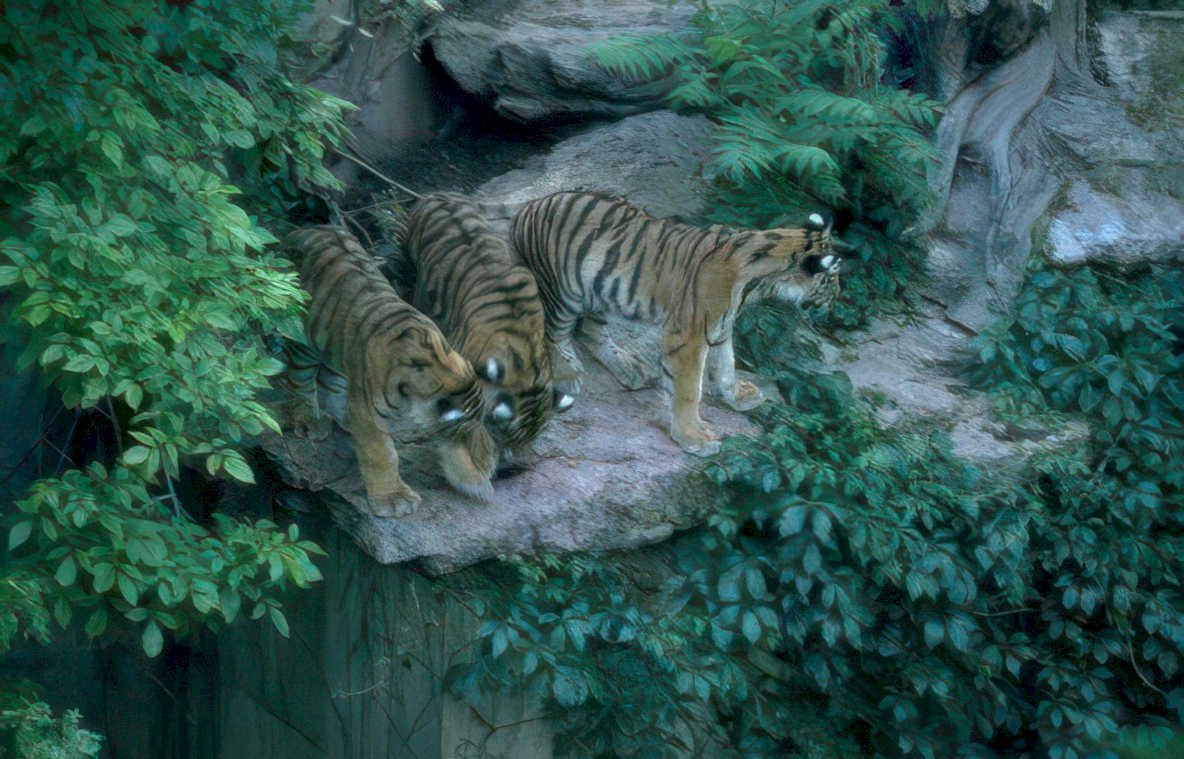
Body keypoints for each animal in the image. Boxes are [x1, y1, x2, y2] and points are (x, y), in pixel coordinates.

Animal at [284, 225, 497, 517]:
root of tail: (307, 228)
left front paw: (475, 481)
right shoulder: (370, 412)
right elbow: (381, 454)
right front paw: (394, 499)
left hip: (340, 349)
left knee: (331, 379)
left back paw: (342, 417)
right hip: (306, 337)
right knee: (299, 377)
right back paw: (308, 419)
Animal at [509, 191, 845, 456]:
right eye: (832, 280)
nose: (838, 303)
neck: (757, 282)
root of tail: (528, 206)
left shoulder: (721, 327)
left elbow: (727, 364)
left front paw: (738, 395)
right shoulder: (689, 335)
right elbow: (688, 388)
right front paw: (693, 438)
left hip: (601, 293)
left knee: (591, 331)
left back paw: (628, 368)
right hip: (562, 292)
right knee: (552, 334)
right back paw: (567, 374)